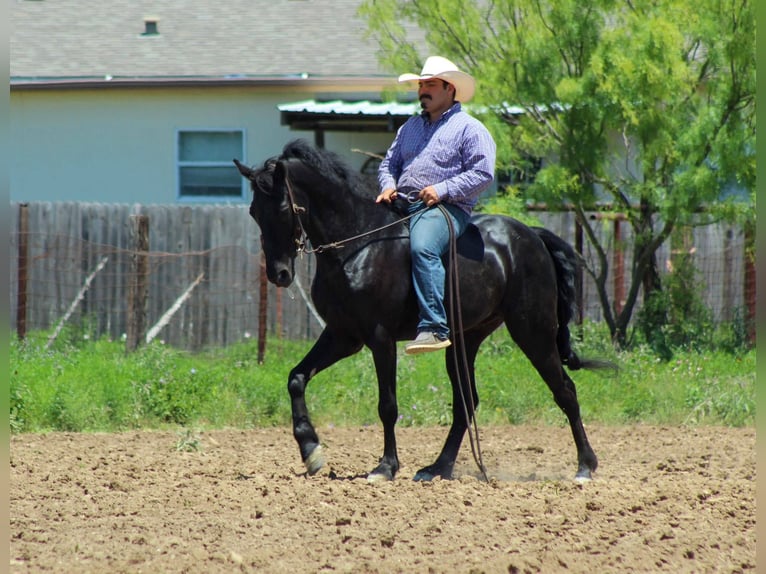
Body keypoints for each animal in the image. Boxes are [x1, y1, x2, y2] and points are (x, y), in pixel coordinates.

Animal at [235, 138, 602, 483]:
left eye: (283, 207)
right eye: (254, 211)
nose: (279, 274)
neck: (357, 243)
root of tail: (532, 238)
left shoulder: (380, 339)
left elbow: (387, 405)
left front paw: (385, 467)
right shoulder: (343, 336)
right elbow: (296, 378)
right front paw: (311, 451)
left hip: (533, 332)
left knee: (565, 391)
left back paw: (585, 466)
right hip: (466, 341)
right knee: (466, 404)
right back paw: (437, 468)